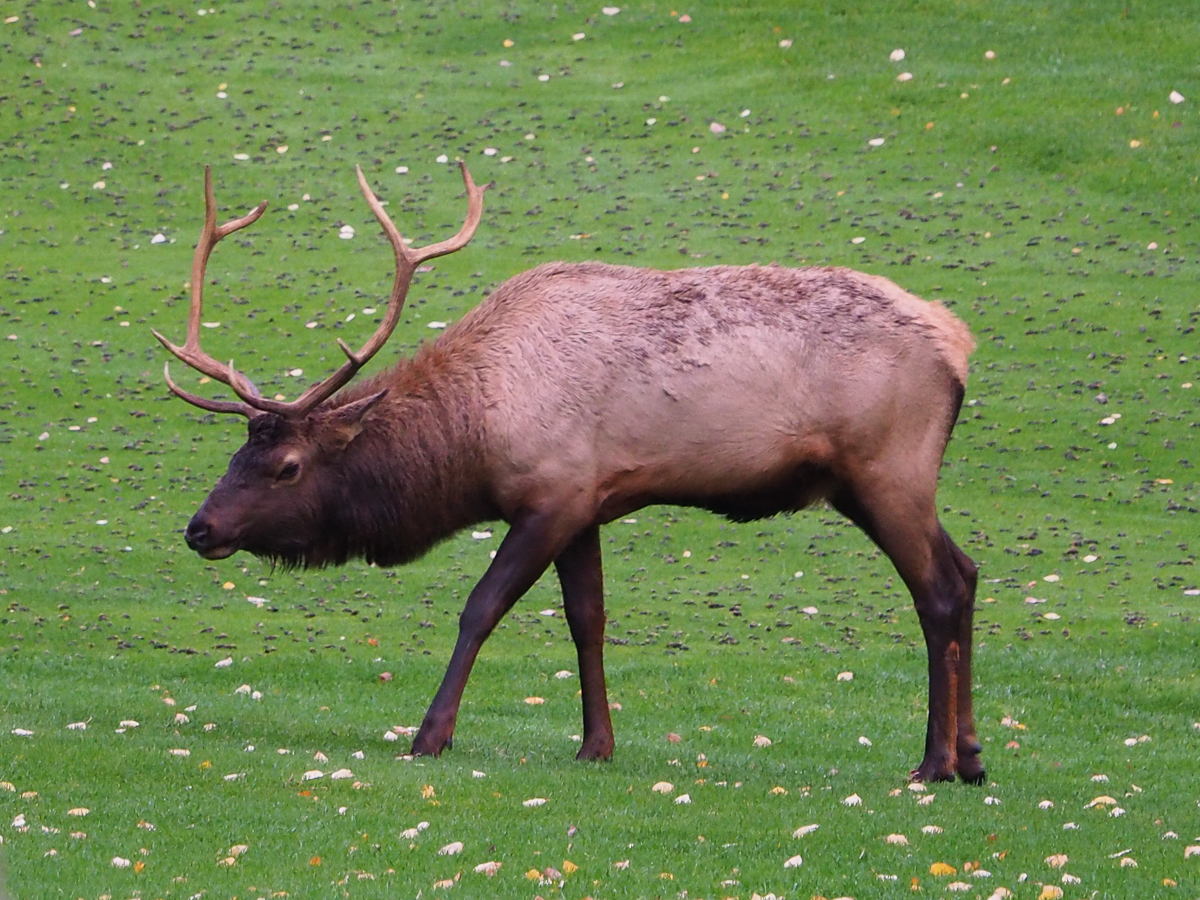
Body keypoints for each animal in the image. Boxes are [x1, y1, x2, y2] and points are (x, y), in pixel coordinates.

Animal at [155, 162, 983, 785]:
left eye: (287, 467)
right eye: (236, 454)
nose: (200, 527)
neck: (474, 434)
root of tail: (960, 342)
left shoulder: (550, 494)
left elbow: (481, 607)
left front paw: (430, 734)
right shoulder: (588, 502)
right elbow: (588, 620)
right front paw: (596, 744)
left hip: (886, 468)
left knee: (939, 590)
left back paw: (933, 763)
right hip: (883, 481)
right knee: (968, 572)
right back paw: (972, 758)